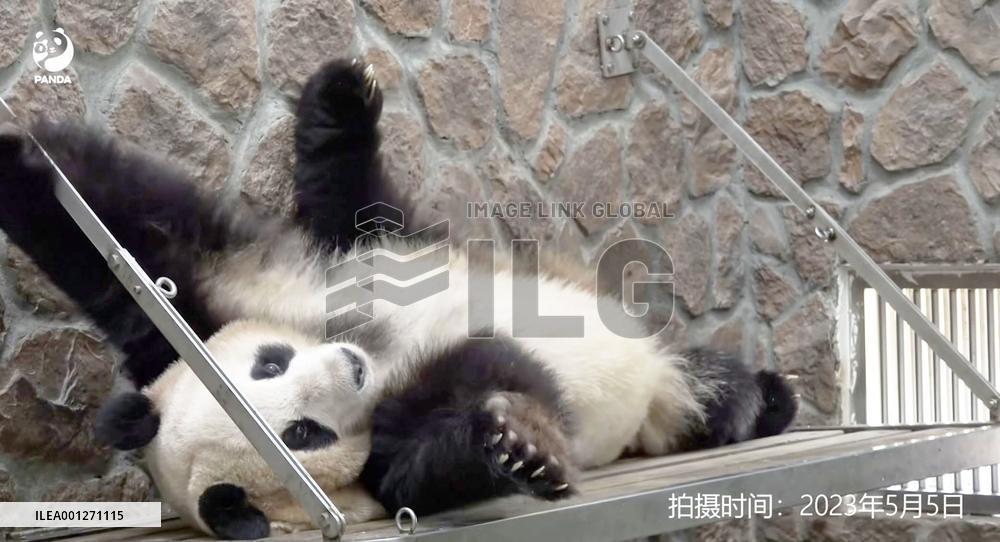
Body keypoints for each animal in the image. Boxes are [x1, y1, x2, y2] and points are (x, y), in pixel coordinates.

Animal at [0, 59, 797, 539]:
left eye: (267, 363)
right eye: (300, 435)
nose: (346, 369)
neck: (382, 358)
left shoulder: (214, 306)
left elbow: (136, 243)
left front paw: (19, 159)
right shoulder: (380, 467)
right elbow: (438, 450)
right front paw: (521, 445)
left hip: (384, 248)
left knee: (357, 200)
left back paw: (341, 97)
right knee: (701, 399)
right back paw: (757, 401)